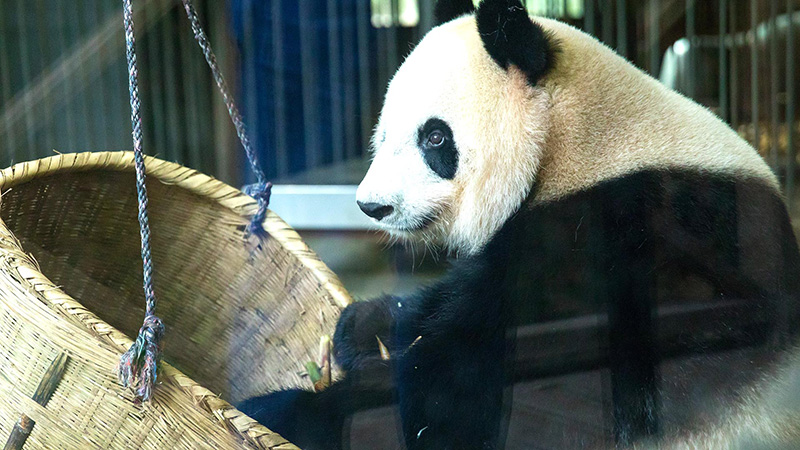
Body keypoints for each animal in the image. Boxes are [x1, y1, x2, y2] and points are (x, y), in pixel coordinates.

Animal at [240, 0, 800, 449]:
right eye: (381, 135)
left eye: (435, 138)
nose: (371, 207)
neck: (582, 144)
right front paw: (363, 325)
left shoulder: (618, 241)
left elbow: (461, 401)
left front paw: (279, 411)